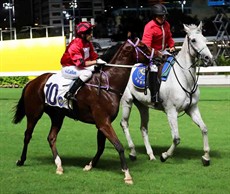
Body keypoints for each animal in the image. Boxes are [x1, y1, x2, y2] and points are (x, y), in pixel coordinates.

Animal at [12, 38, 155, 185]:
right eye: (143, 46)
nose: (160, 55)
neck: (107, 84)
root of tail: (32, 82)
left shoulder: (103, 123)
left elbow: (101, 147)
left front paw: (89, 165)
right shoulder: (103, 123)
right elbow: (118, 146)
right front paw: (127, 174)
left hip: (57, 116)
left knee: (51, 137)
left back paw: (59, 165)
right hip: (34, 113)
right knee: (27, 135)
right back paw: (21, 160)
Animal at [120, 22, 214, 166]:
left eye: (205, 39)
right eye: (193, 40)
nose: (209, 58)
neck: (184, 78)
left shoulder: (192, 108)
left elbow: (204, 128)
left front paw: (206, 157)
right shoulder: (171, 111)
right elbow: (176, 138)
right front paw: (165, 155)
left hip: (142, 106)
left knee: (143, 128)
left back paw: (151, 154)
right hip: (127, 101)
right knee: (124, 124)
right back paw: (133, 152)